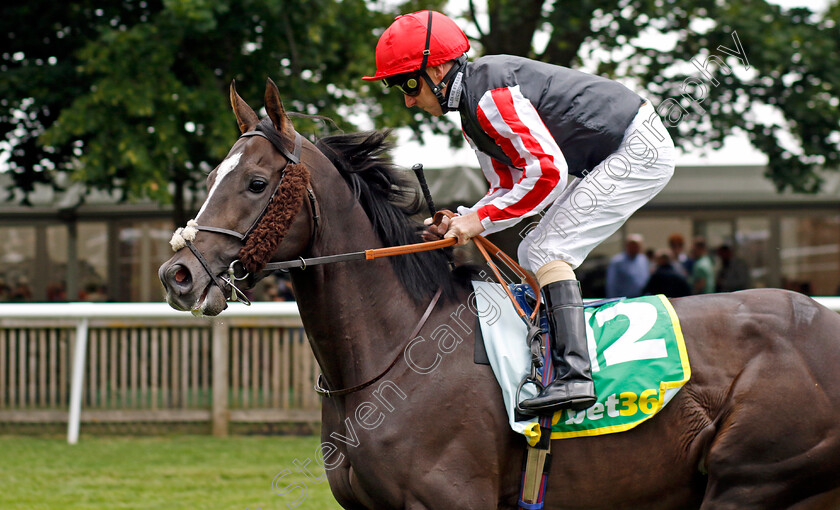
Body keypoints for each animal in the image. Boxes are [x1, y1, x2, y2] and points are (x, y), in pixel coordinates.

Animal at [159, 78, 840, 506]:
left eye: (254, 182)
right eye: (214, 175)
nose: (178, 274)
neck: (397, 352)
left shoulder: (453, 498)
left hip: (752, 477)